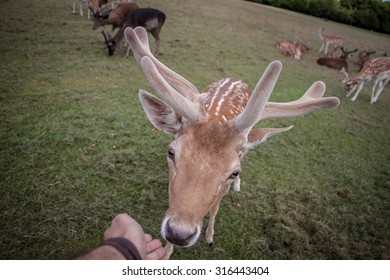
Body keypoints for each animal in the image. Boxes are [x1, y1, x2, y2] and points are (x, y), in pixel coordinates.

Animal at [125, 26, 342, 260]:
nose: (179, 234)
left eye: (233, 172)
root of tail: (235, 78)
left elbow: (215, 208)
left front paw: (210, 237)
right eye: (171, 152)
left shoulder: (224, 187)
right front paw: (166, 253)